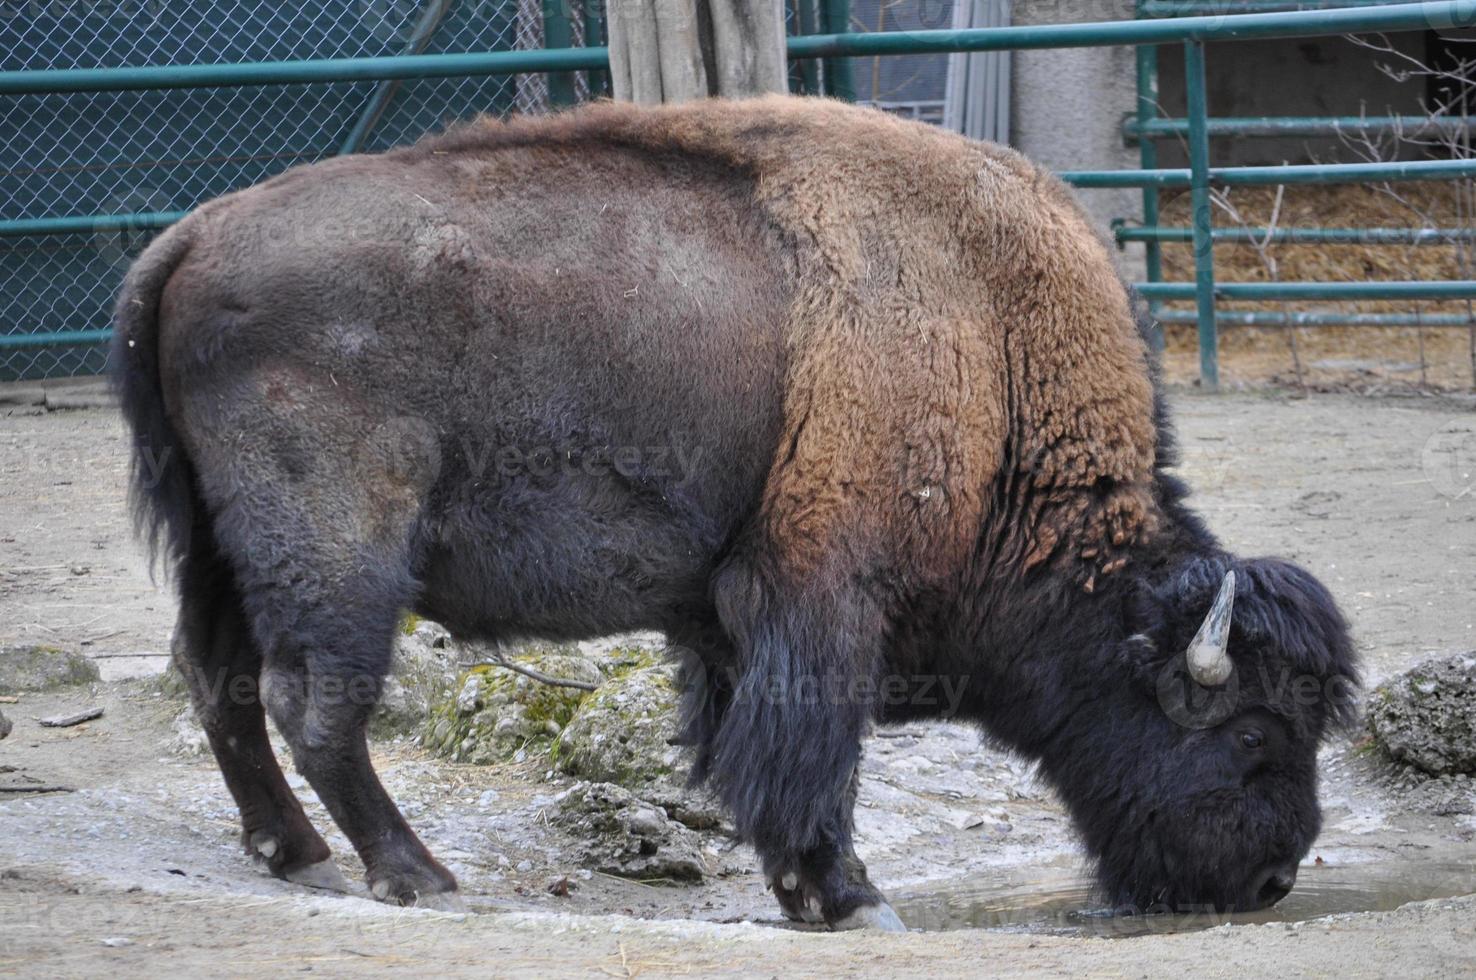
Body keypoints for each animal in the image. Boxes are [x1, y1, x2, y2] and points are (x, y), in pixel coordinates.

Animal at [115, 95, 1357, 932]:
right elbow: (810, 749)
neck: (989, 350)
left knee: (219, 681)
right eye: (1254, 731)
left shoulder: (724, 615)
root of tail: (192, 235)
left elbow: (742, 747)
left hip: (216, 548)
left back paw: (296, 853)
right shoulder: (823, 595)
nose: (1270, 878)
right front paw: (848, 894)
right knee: (315, 700)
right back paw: (412, 871)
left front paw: (803, 887)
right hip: (343, 555)